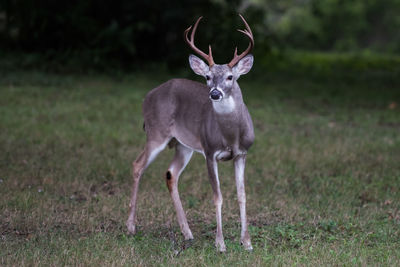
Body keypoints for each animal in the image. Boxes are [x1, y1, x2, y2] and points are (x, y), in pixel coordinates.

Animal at [126, 14, 255, 253]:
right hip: (156, 132)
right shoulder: (210, 151)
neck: (231, 136)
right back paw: (130, 227)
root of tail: (148, 95)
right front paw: (220, 244)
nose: (214, 93)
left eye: (230, 77)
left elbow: (242, 195)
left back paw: (187, 233)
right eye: (207, 77)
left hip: (183, 145)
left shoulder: (242, 154)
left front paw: (247, 242)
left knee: (171, 174)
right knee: (138, 165)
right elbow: (217, 196)